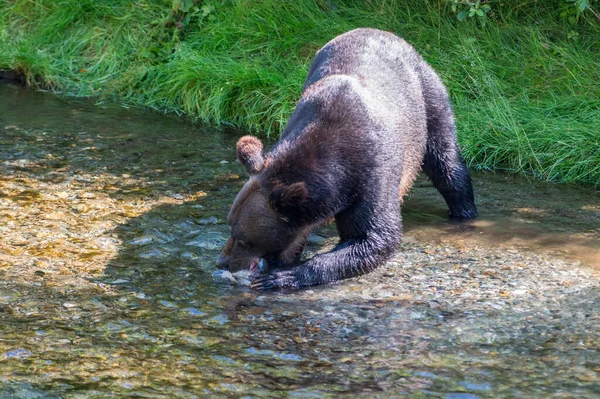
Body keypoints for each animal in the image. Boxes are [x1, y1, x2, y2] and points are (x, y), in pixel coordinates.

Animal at [216, 27, 478, 290]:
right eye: (230, 225)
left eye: (242, 238)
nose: (222, 262)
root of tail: (380, 31)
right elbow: (297, 238)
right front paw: (278, 267)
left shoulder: (370, 174)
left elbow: (373, 237)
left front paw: (282, 276)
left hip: (427, 95)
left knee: (446, 161)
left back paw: (464, 210)